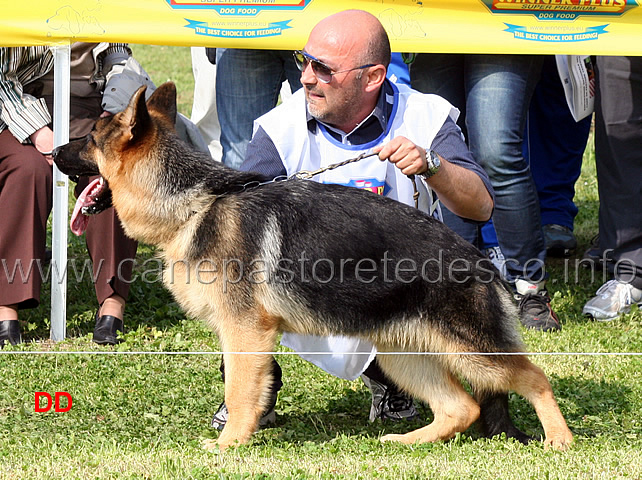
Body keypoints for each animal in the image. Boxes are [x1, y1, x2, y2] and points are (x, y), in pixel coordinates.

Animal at [55, 81, 572, 450]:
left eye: (88, 139)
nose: (52, 150)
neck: (195, 202)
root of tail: (481, 261)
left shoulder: (245, 332)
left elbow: (241, 392)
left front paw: (229, 445)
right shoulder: (243, 333)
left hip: (474, 353)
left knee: (534, 378)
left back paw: (559, 441)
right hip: (403, 353)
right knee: (460, 408)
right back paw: (408, 440)